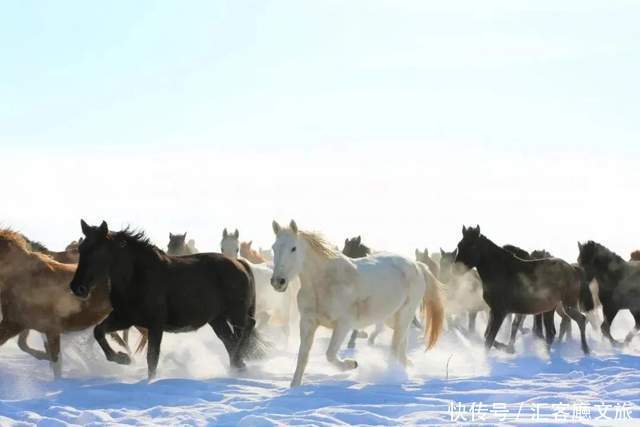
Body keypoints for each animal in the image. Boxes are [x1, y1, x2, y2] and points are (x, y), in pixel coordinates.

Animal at [268, 221, 442, 388]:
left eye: (293, 248)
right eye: (274, 248)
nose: (278, 281)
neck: (324, 283)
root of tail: (417, 265)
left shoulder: (343, 324)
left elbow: (330, 354)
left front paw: (352, 364)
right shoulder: (307, 322)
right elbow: (303, 356)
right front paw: (294, 386)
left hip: (405, 314)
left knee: (395, 347)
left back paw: (391, 375)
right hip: (392, 318)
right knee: (402, 343)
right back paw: (405, 366)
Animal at [456, 227, 592, 354]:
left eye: (473, 245)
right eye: (459, 245)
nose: (456, 269)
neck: (501, 271)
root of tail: (573, 269)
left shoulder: (500, 311)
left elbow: (489, 340)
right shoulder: (494, 311)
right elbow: (488, 336)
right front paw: (508, 348)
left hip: (567, 305)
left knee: (580, 320)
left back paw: (585, 349)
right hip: (550, 308)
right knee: (552, 333)